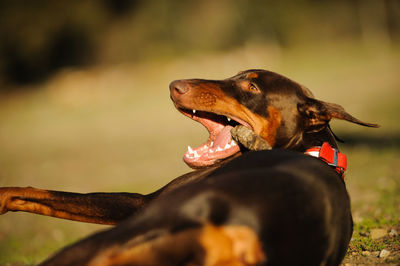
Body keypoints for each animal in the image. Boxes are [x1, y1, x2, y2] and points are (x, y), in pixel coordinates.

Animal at [0, 69, 378, 264]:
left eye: (252, 85)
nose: (174, 85)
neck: (309, 147)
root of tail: (242, 233)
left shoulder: (141, 203)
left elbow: (40, 193)